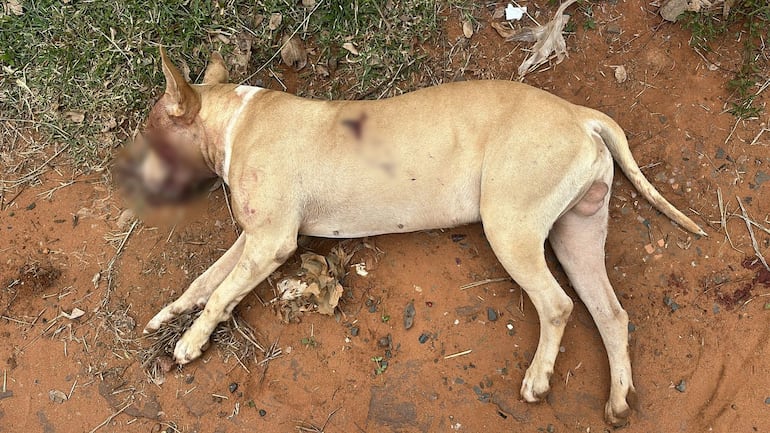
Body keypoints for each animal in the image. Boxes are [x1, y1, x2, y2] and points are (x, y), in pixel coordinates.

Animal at [126, 48, 704, 426]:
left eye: (148, 132)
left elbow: (221, 292)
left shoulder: (271, 242)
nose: (124, 174)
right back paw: (619, 401)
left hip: (510, 226)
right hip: (576, 234)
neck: (232, 122)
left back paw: (538, 379)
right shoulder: (253, 239)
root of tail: (579, 114)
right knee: (611, 314)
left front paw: (190, 343)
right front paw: (171, 315)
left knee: (558, 305)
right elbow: (205, 283)